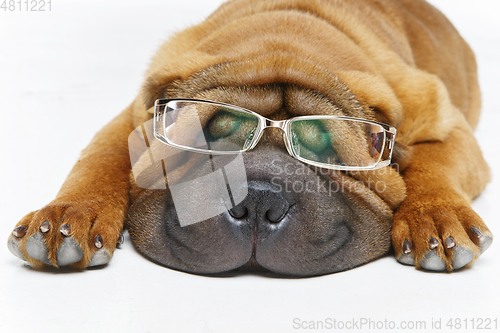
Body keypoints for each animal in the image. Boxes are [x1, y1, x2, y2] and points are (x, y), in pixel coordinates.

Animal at [6, 0, 492, 274]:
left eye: (323, 148)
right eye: (210, 139)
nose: (257, 200)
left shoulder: (446, 123)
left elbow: (436, 166)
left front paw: (436, 220)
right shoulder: (130, 120)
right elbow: (99, 160)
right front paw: (71, 215)